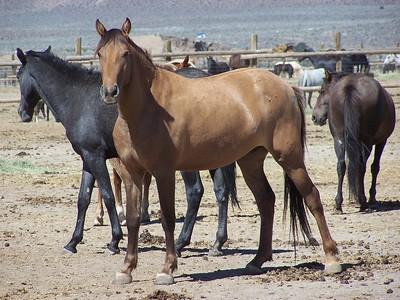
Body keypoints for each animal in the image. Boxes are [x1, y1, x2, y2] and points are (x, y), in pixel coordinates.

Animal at [16, 48, 238, 256]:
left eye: (18, 76)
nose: (22, 113)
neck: (78, 99)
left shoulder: (96, 157)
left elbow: (107, 195)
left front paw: (114, 241)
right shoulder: (87, 158)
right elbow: (83, 198)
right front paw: (73, 242)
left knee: (195, 192)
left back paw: (180, 243)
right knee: (221, 192)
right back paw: (217, 244)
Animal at [94, 17, 340, 284]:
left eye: (125, 54)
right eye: (99, 53)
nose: (110, 92)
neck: (148, 109)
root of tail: (286, 87)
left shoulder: (164, 172)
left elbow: (168, 218)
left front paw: (167, 269)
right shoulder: (132, 174)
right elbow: (133, 219)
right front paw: (126, 269)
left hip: (290, 158)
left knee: (312, 196)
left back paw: (332, 259)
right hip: (250, 161)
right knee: (266, 200)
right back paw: (257, 261)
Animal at [312, 72, 394, 213]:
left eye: (322, 91)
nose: (314, 117)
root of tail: (350, 86)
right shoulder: (381, 141)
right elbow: (374, 167)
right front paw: (371, 198)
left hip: (339, 139)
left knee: (341, 166)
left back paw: (338, 203)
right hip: (366, 141)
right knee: (361, 166)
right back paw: (363, 201)